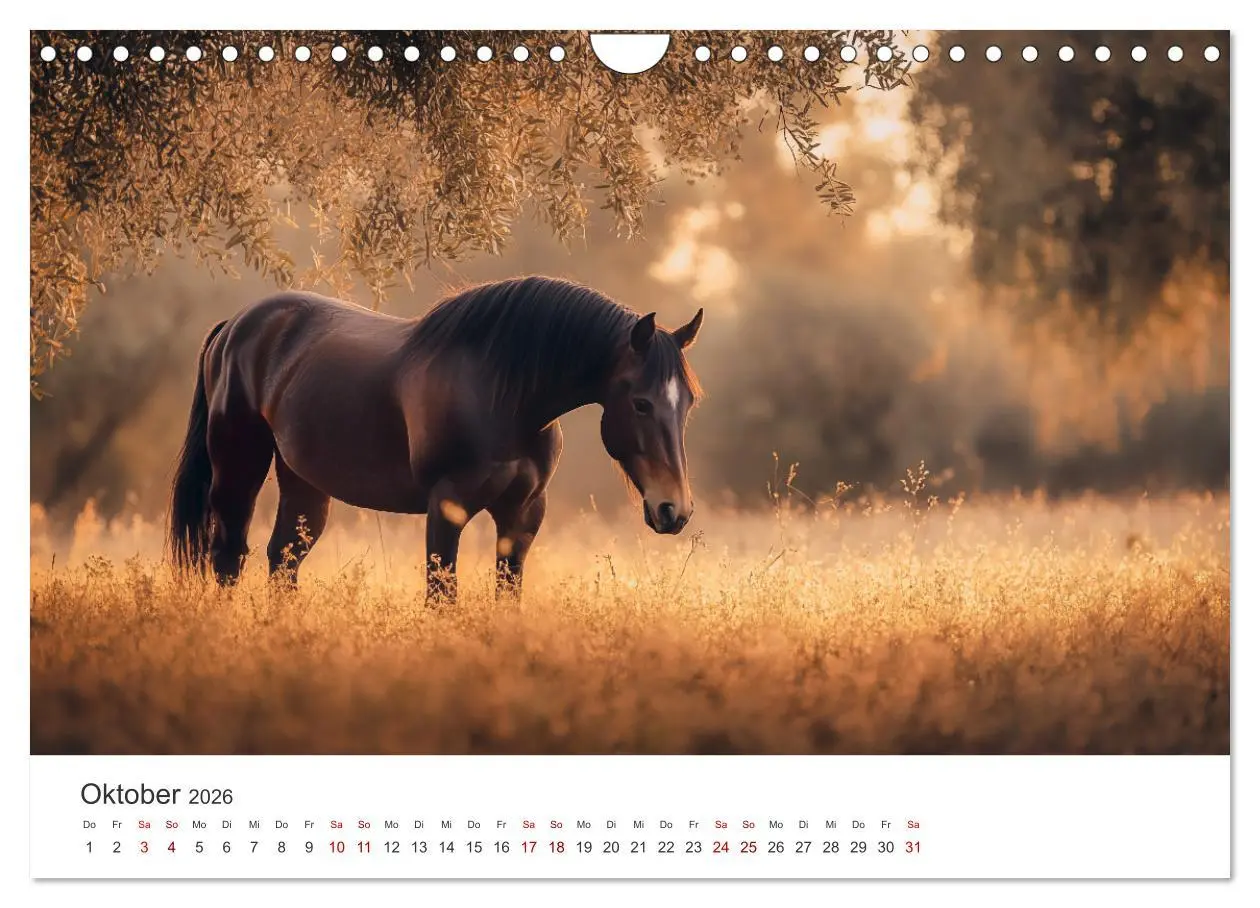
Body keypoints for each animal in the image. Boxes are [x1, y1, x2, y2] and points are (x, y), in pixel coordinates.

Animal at [168, 275, 704, 600]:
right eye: (641, 403)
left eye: (688, 404)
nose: (673, 511)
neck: (504, 392)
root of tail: (235, 326)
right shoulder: (447, 507)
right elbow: (441, 595)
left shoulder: (523, 513)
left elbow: (506, 594)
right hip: (238, 468)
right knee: (228, 557)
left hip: (302, 482)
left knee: (283, 560)